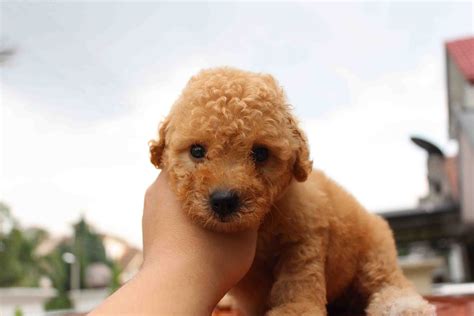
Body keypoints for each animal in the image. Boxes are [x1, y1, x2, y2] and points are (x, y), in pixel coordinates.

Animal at [150, 68, 436, 314]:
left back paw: (405, 307)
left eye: (261, 153)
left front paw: (295, 310)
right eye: (197, 151)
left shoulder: (304, 236)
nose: (223, 201)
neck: (263, 226)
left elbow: (297, 278)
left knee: (388, 282)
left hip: (374, 251)